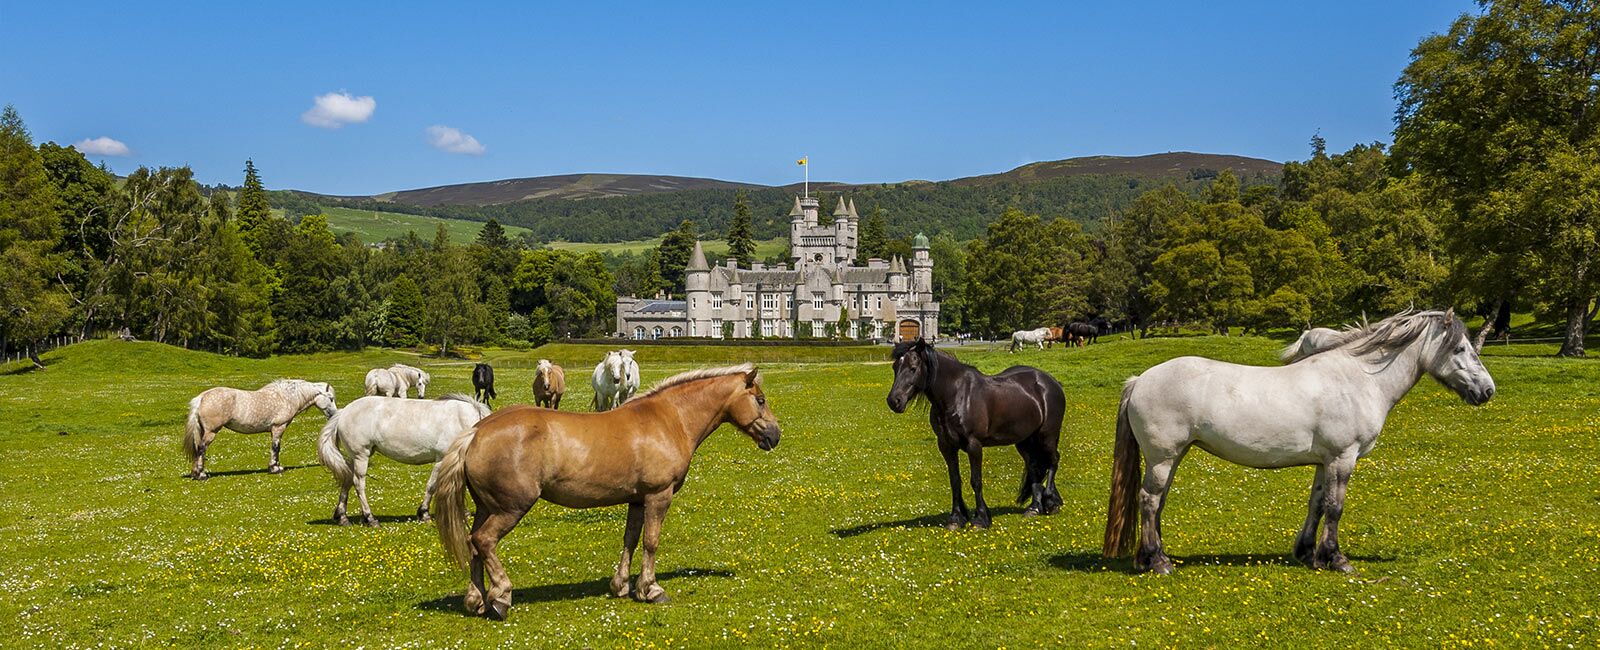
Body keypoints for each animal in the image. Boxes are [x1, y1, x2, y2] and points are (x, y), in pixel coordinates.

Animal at [183, 377, 337, 480]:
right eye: (330, 398)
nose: (334, 414)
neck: (286, 397)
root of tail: (202, 397)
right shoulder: (278, 428)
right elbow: (276, 448)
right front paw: (275, 468)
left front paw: (276, 466)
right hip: (211, 432)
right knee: (201, 449)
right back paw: (201, 475)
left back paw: (195, 473)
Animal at [312, 393, 486, 525]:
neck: (463, 421)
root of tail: (344, 412)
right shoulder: (442, 459)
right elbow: (432, 486)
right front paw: (424, 513)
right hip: (361, 455)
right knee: (358, 483)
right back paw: (370, 518)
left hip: (354, 458)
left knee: (347, 479)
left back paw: (342, 517)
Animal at [425, 363, 774, 617]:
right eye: (760, 400)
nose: (775, 434)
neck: (668, 419)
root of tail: (476, 432)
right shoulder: (658, 496)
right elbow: (651, 542)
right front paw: (651, 589)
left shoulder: (637, 500)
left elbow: (631, 539)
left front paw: (622, 585)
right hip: (510, 508)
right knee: (484, 541)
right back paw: (501, 598)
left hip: (486, 507)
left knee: (473, 545)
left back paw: (477, 600)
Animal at [889, 337, 1062, 531]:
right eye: (895, 367)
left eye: (913, 368)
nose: (894, 401)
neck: (957, 395)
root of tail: (1050, 382)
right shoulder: (946, 446)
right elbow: (955, 481)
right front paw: (956, 518)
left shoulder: (974, 445)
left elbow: (976, 480)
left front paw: (980, 519)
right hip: (1024, 441)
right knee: (1034, 467)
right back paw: (1034, 508)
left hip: (1047, 436)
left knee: (1053, 461)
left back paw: (1051, 502)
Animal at [1107, 308, 1491, 573]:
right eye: (1459, 348)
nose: (1487, 390)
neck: (1358, 378)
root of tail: (1139, 380)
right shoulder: (1342, 457)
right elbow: (1335, 507)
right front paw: (1337, 559)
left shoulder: (1326, 461)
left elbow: (1317, 504)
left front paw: (1309, 554)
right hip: (1163, 457)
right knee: (1149, 501)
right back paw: (1158, 562)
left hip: (1172, 457)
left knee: (1157, 503)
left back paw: (1151, 557)